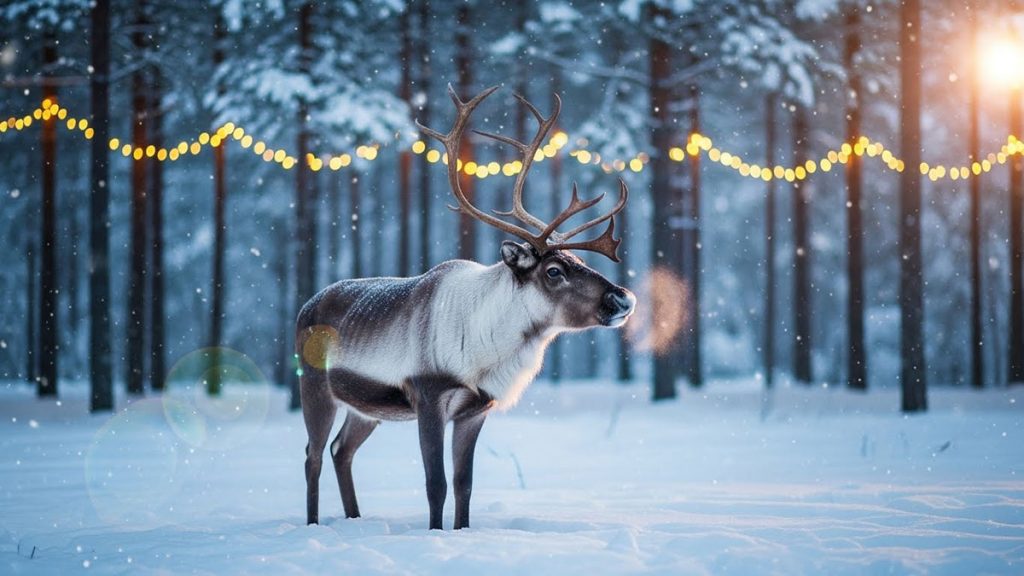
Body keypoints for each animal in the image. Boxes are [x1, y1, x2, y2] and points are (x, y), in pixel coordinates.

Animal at [296, 85, 636, 530]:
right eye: (554, 271)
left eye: (581, 261)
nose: (623, 298)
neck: (487, 350)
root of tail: (305, 306)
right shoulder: (428, 396)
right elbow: (435, 483)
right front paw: (435, 533)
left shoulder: (475, 410)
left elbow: (464, 483)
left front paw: (460, 531)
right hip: (314, 386)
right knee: (313, 455)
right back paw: (313, 524)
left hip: (365, 407)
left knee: (342, 451)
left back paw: (355, 519)